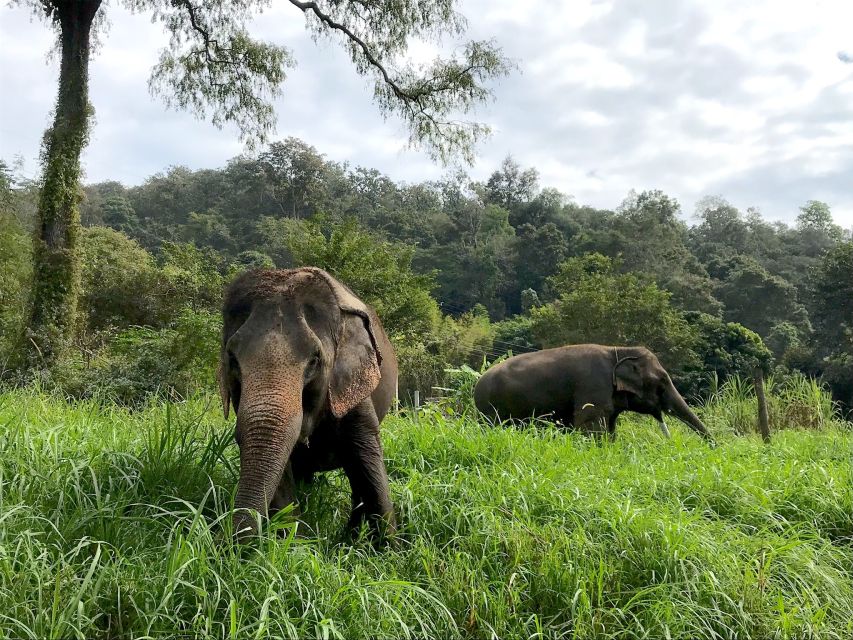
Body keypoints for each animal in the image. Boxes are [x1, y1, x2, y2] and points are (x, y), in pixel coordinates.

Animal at [218, 267, 398, 541]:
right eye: (232, 358)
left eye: (314, 360)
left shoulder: (353, 391)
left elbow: (367, 457)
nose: (225, 541)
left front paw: (388, 547)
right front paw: (296, 540)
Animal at [473, 344, 713, 443]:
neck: (618, 350)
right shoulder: (593, 386)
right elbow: (590, 426)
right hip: (491, 411)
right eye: (661, 383)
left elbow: (610, 427)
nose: (714, 448)